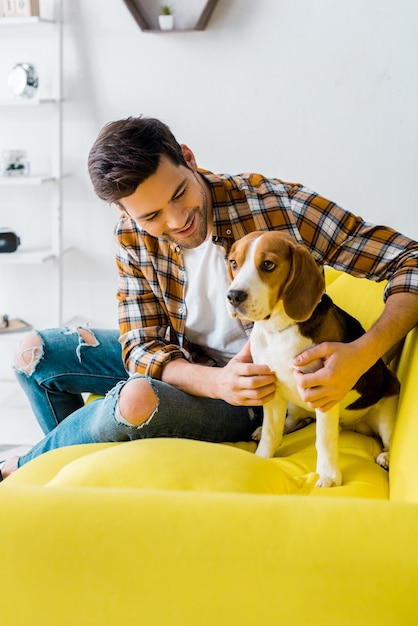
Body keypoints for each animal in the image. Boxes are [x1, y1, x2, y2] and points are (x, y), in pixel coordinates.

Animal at [227, 230, 400, 488]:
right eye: (234, 263)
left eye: (268, 264)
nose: (233, 296)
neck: (279, 329)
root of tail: (353, 424)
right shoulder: (272, 388)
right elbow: (271, 431)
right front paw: (262, 457)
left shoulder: (324, 392)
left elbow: (324, 441)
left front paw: (328, 475)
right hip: (293, 403)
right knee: (292, 420)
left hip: (387, 410)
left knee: (387, 438)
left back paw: (386, 456)